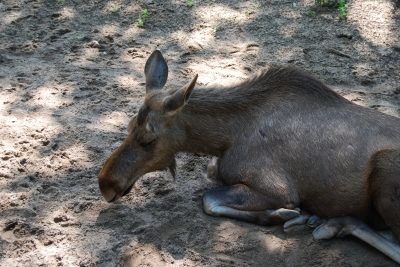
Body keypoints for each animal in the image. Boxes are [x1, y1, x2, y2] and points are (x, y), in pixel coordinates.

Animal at [99, 49, 400, 264]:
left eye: (149, 139)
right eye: (129, 126)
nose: (105, 183)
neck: (224, 138)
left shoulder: (278, 188)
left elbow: (208, 199)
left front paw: (283, 215)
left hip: (387, 171)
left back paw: (330, 222)